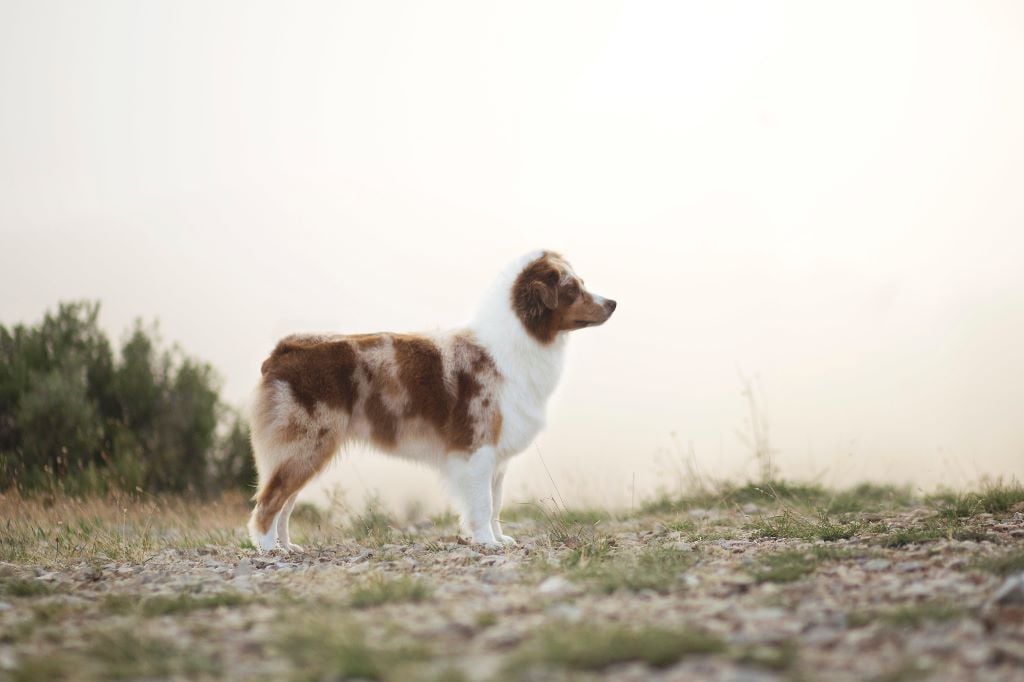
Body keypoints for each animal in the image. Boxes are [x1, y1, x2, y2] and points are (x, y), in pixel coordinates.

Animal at [247, 251, 614, 548]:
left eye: (581, 284)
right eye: (573, 290)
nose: (613, 303)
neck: (519, 340)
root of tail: (283, 351)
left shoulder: (497, 457)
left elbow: (495, 504)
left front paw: (499, 539)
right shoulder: (477, 448)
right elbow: (482, 504)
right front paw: (486, 542)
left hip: (305, 451)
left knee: (284, 504)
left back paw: (287, 546)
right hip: (307, 444)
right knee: (268, 503)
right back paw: (269, 550)